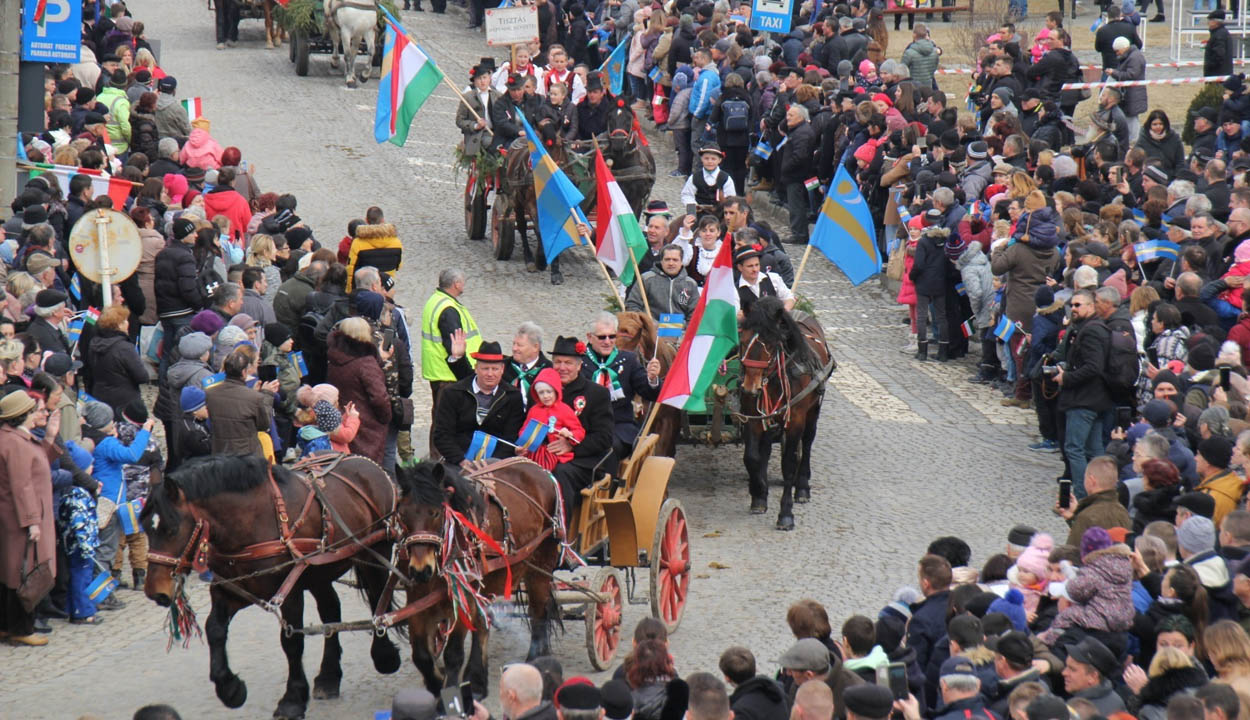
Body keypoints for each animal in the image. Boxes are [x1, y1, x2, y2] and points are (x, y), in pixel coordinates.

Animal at [143, 455, 402, 720]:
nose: (156, 592)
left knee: (378, 600)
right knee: (331, 611)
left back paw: (384, 656)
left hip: (375, 552)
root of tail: (367, 463)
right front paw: (230, 688)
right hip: (319, 572)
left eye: (171, 529)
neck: (252, 521)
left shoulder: (291, 593)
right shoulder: (231, 589)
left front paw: (292, 699)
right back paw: (328, 677)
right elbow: (214, 629)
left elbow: (292, 642)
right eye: (145, 528)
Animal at [395, 457, 562, 700]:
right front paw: (436, 683)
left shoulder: (463, 596)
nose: (420, 569)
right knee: (484, 624)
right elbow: (421, 655)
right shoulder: (417, 602)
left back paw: (535, 662)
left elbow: (453, 653)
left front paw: (451, 693)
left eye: (435, 513)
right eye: (402, 514)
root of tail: (534, 466)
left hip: (541, 563)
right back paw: (477, 682)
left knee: (539, 611)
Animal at [735, 296, 835, 530]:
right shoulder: (753, 416)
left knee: (807, 443)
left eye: (772, 345)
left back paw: (803, 487)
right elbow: (752, 456)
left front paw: (786, 513)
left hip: (813, 411)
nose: (750, 389)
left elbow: (789, 464)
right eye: (742, 340)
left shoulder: (795, 420)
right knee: (764, 450)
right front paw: (759, 493)